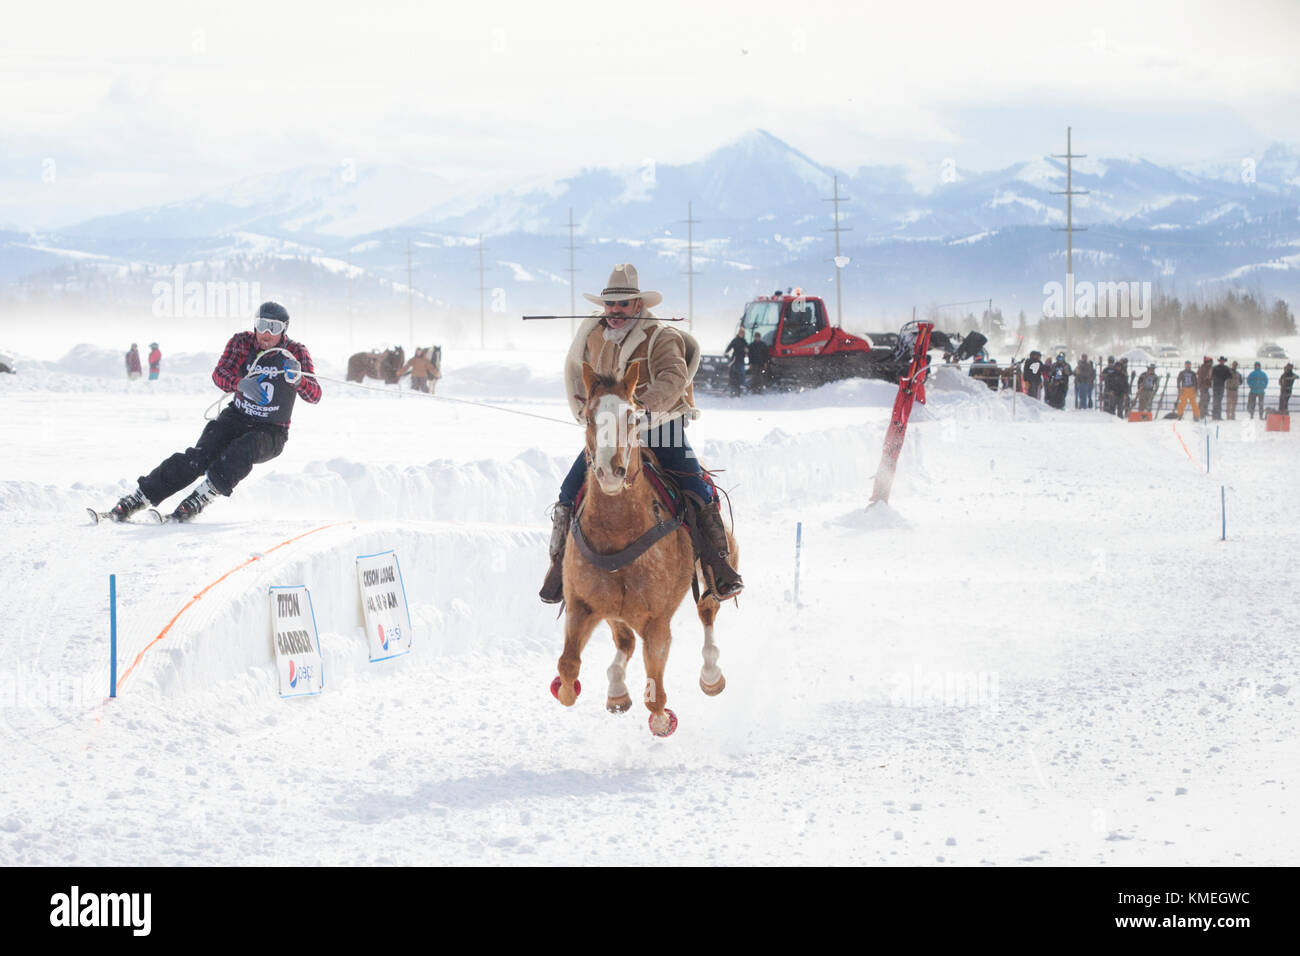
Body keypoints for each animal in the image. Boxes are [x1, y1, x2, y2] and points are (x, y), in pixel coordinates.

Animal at [548, 361, 738, 738]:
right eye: (589, 417)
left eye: (633, 417)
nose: (610, 471)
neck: (617, 532)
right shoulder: (582, 606)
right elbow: (568, 668)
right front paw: (575, 689)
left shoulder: (657, 621)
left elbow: (656, 696)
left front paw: (662, 719)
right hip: (613, 611)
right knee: (624, 642)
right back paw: (617, 691)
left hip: (715, 576)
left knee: (707, 613)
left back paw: (711, 675)